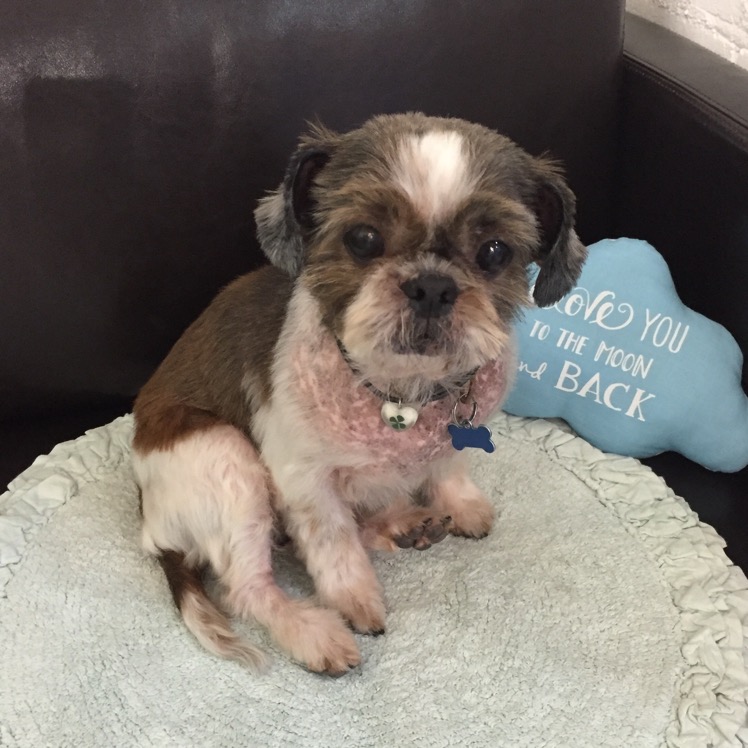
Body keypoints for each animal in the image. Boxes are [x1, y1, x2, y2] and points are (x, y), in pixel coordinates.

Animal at [132, 112, 587, 675]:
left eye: (494, 252)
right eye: (364, 238)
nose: (432, 286)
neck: (404, 394)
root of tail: (151, 524)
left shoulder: (453, 434)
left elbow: (448, 465)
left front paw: (458, 502)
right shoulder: (303, 478)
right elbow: (333, 540)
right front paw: (354, 598)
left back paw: (408, 524)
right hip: (223, 460)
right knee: (248, 585)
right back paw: (310, 631)